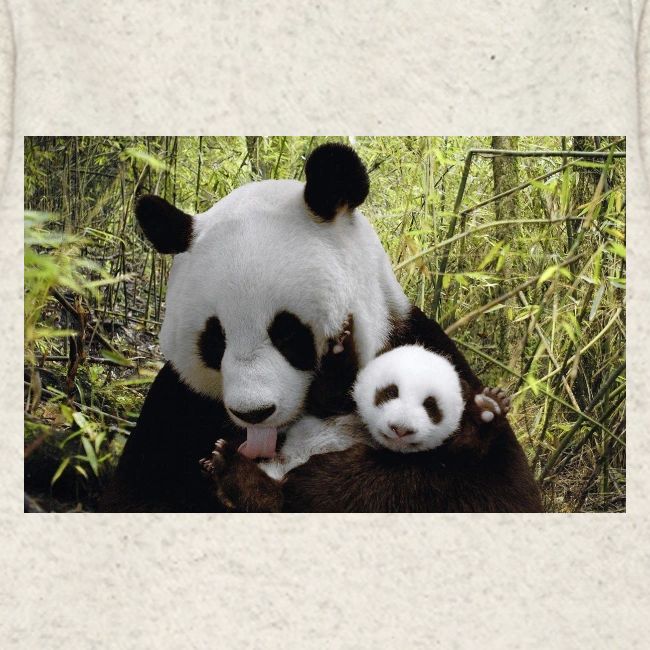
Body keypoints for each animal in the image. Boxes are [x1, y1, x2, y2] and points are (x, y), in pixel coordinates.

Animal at [99, 143, 540, 513]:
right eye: (215, 340)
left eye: (288, 333)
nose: (254, 413)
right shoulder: (178, 405)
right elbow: (136, 493)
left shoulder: (422, 347)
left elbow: (489, 489)